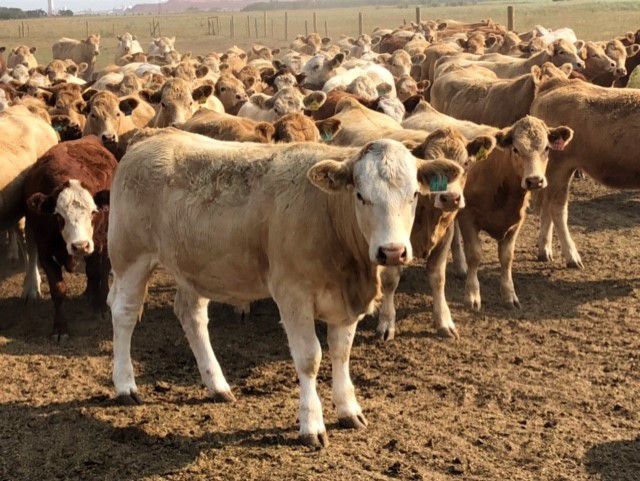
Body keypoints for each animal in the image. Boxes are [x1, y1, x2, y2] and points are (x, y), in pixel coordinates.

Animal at [23, 137, 115, 340]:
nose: (80, 246)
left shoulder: (97, 244)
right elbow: (58, 290)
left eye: (93, 212)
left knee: (103, 269)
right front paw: (60, 328)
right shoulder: (45, 252)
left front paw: (98, 308)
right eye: (58, 216)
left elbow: (95, 271)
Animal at [107, 128, 461, 447]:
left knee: (191, 315)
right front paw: (311, 424)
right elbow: (309, 357)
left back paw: (217, 384)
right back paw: (125, 385)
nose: (392, 251)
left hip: (193, 265)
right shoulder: (293, 294)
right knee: (124, 314)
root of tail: (149, 139)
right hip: (130, 256)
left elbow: (341, 352)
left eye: (413, 195)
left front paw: (348, 409)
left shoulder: (344, 302)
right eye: (361, 196)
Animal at [451, 116, 573, 309]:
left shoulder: (516, 222)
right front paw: (472, 295)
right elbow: (474, 255)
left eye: (546, 148)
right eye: (516, 149)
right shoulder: (467, 217)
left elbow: (507, 258)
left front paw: (509, 295)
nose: (534, 180)